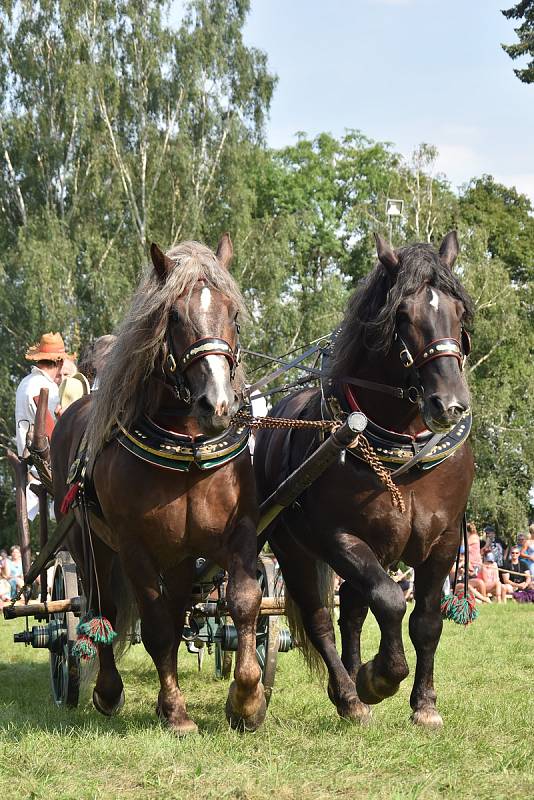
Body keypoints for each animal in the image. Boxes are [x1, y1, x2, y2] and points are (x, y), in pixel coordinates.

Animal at [52, 234, 266, 736]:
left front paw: (247, 700)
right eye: (174, 317)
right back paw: (108, 691)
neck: (186, 448)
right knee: (102, 610)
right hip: (88, 543)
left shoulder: (235, 534)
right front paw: (175, 711)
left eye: (234, 313)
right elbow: (153, 627)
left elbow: (244, 601)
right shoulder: (135, 548)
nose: (218, 405)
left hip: (180, 556)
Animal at [256, 230, 478, 724]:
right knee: (322, 620)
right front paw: (379, 678)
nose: (450, 405)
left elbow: (426, 621)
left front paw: (424, 705)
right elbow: (391, 601)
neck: (405, 449)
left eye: (458, 312)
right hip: (294, 550)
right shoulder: (340, 538)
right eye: (402, 315)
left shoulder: (443, 541)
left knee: (353, 613)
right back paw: (349, 695)